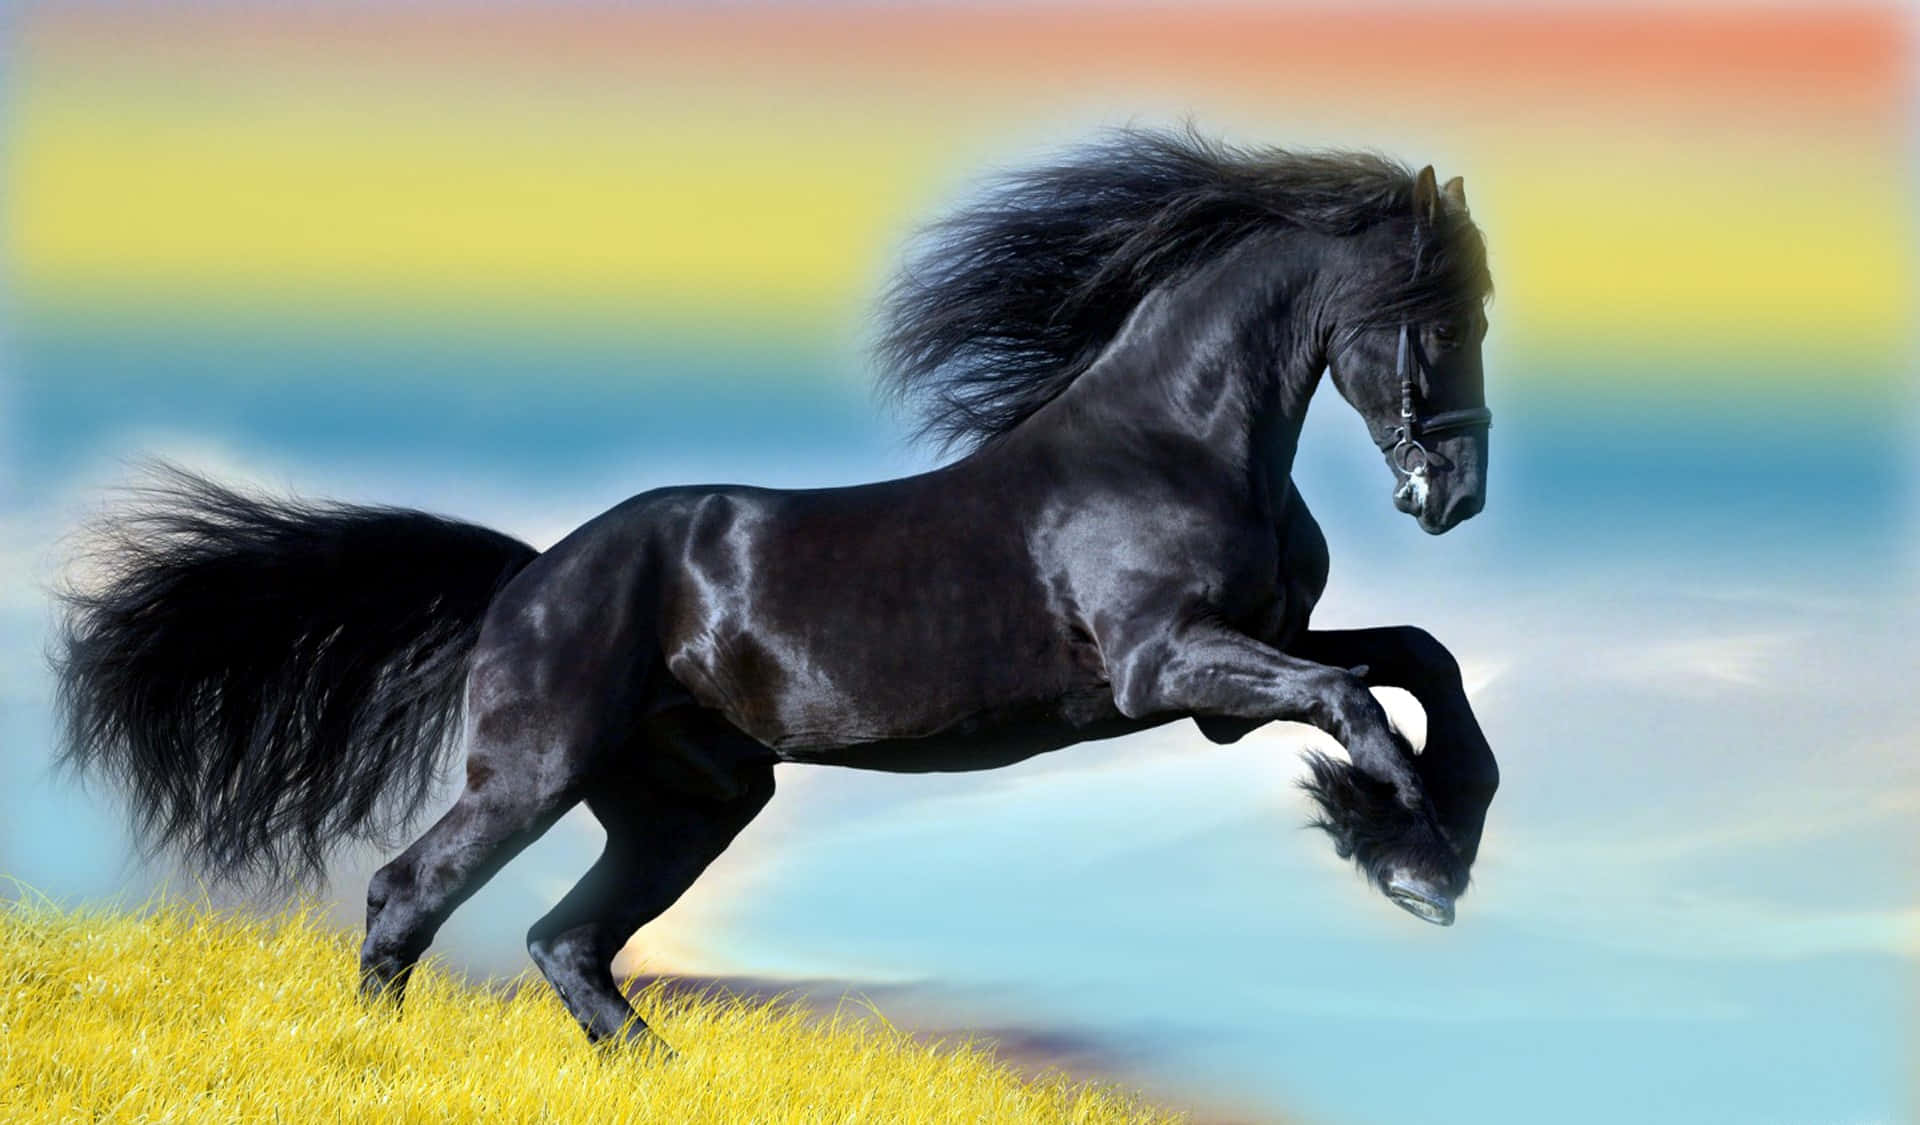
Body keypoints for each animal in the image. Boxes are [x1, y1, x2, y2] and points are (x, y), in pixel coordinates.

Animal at [55, 127, 1500, 1051]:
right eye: (1439, 315)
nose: (1457, 496)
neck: (1173, 442)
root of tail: (531, 577)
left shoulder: (1245, 657)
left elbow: (1418, 658)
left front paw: (1431, 833)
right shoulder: (1169, 668)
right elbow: (1356, 702)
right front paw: (1408, 855)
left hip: (689, 800)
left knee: (567, 940)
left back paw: (657, 1069)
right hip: (535, 771)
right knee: (410, 894)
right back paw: (383, 1057)